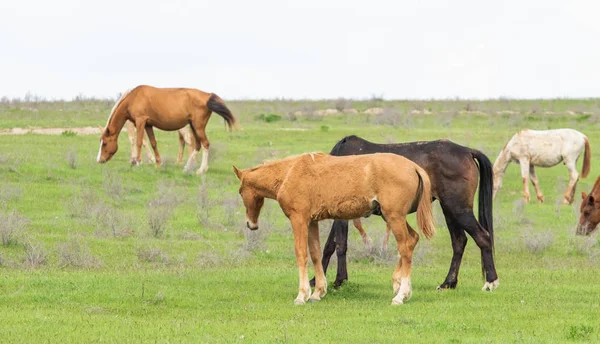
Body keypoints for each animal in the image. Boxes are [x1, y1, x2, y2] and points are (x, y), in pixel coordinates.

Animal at [96, 84, 239, 173]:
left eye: (105, 143)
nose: (99, 160)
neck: (134, 97)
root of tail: (208, 95)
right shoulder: (148, 124)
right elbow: (153, 143)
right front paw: (158, 163)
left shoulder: (140, 121)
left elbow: (139, 142)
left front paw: (137, 162)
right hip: (193, 126)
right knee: (197, 145)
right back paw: (187, 167)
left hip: (198, 127)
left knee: (205, 144)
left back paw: (201, 170)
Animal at [232, 152, 434, 306]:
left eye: (240, 192)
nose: (251, 224)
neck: (289, 173)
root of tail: (414, 167)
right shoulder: (311, 222)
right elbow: (315, 254)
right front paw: (317, 292)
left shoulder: (299, 220)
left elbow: (301, 254)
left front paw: (302, 295)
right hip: (392, 217)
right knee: (413, 239)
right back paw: (398, 284)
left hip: (394, 217)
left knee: (405, 247)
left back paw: (401, 295)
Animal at [312, 136, 500, 292]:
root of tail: (467, 151)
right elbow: (330, 246)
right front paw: (316, 280)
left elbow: (340, 245)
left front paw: (339, 280)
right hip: (450, 210)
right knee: (459, 241)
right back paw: (448, 283)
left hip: (458, 209)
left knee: (483, 237)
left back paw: (490, 282)